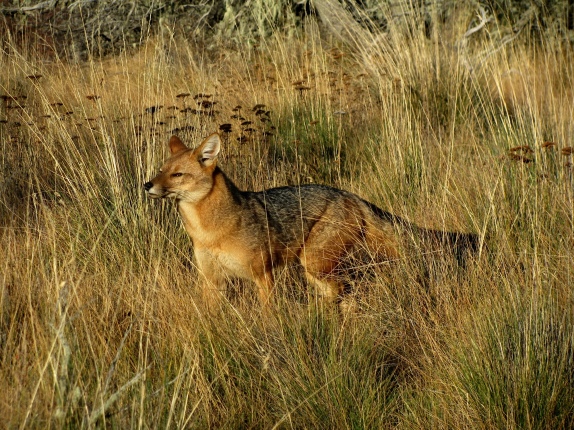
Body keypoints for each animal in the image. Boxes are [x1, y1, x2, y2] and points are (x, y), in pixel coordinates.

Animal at [145, 133, 482, 310]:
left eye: (177, 175)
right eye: (161, 170)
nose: (147, 185)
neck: (209, 231)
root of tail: (347, 194)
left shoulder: (263, 276)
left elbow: (268, 316)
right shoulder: (211, 281)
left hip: (314, 264)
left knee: (344, 288)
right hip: (314, 269)